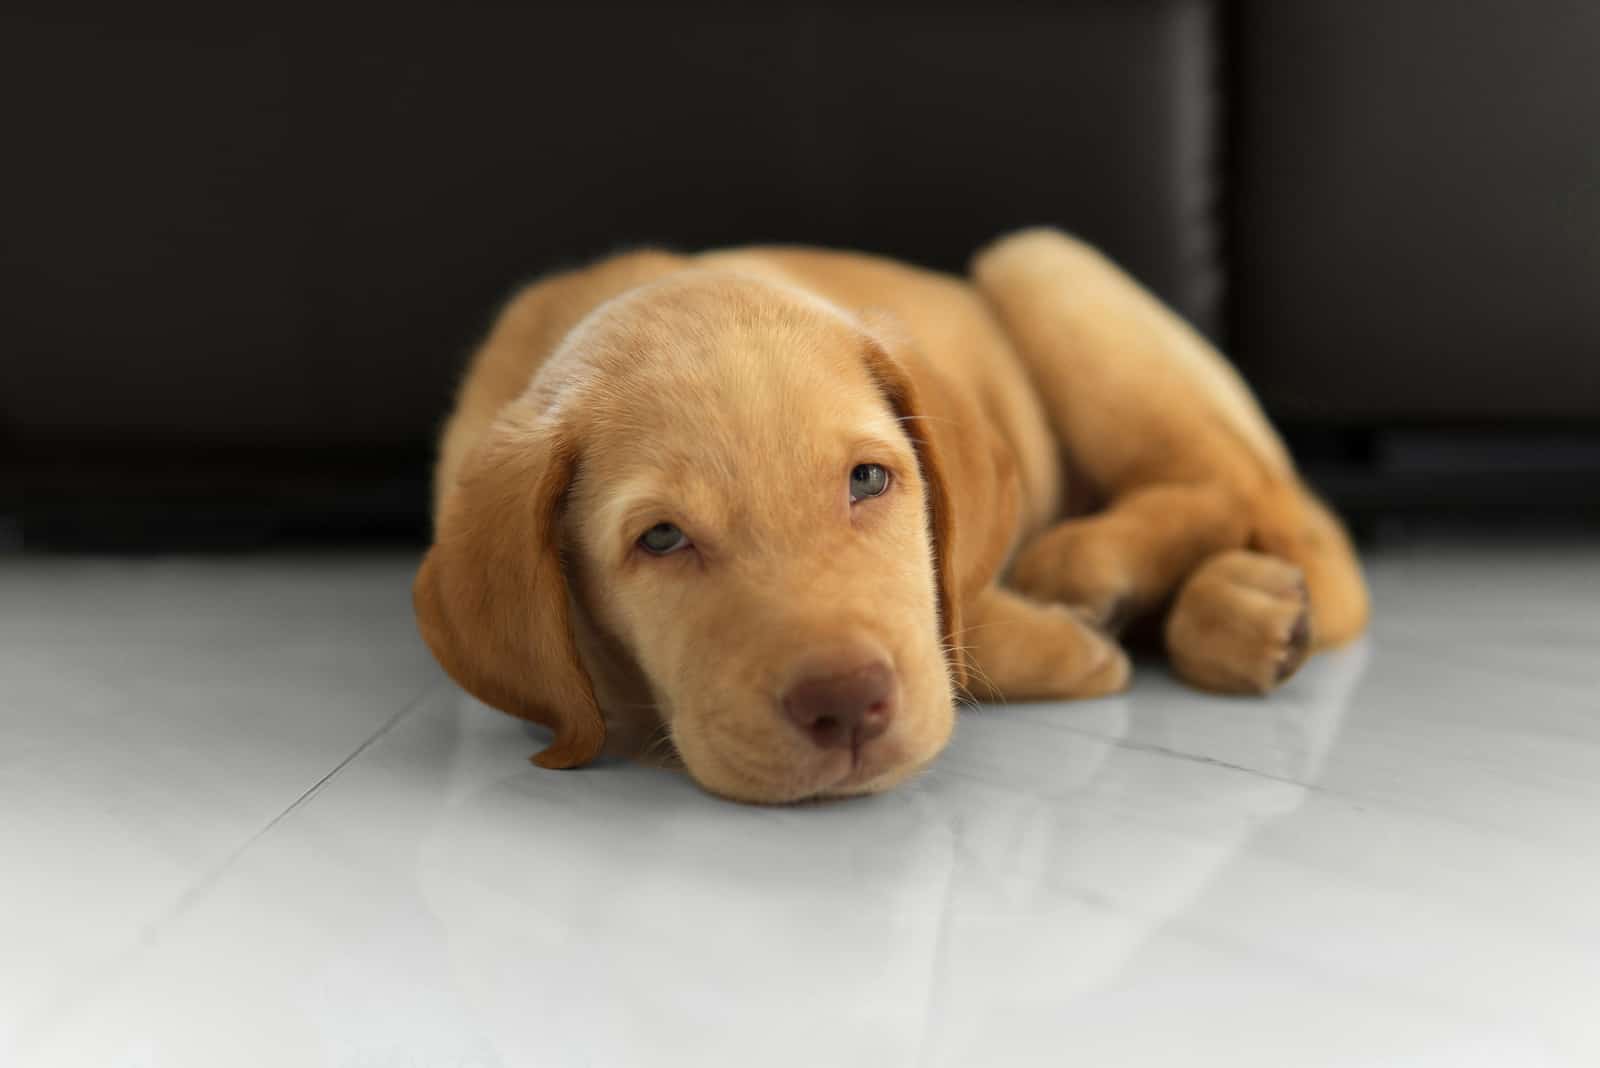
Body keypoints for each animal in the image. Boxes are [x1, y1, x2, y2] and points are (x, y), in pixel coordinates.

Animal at [409, 230, 1363, 805]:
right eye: (662, 539)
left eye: (869, 480)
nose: (845, 707)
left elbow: (951, 610)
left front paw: (1070, 637)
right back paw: (1238, 609)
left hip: (1036, 262)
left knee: (1256, 496)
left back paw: (1111, 570)